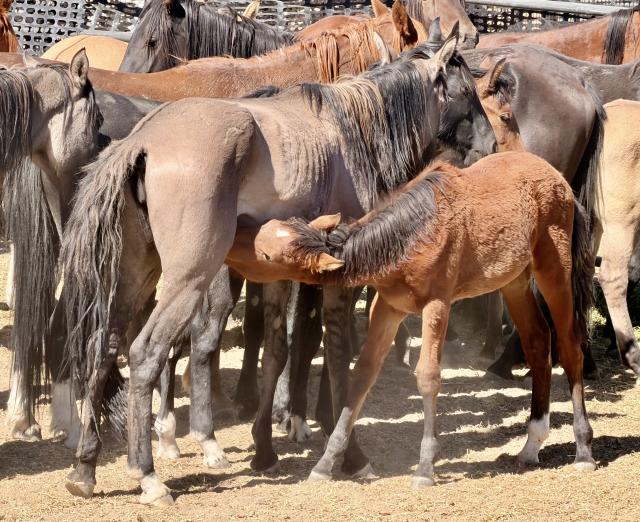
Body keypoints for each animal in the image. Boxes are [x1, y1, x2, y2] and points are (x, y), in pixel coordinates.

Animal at [60, 36, 495, 504]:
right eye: (466, 92)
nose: (492, 146)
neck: (353, 135)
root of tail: (144, 139)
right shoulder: (341, 279)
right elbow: (337, 354)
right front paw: (349, 454)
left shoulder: (278, 276)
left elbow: (276, 352)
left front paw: (265, 448)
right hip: (188, 281)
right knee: (146, 353)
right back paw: (149, 474)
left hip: (136, 276)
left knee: (105, 347)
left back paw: (85, 468)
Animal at [226, 150, 597, 486]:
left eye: (267, 255)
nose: (234, 238)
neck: (411, 235)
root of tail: (562, 182)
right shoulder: (388, 307)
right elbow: (363, 373)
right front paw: (327, 463)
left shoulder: (437, 304)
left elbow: (429, 377)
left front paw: (425, 468)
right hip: (514, 281)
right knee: (537, 342)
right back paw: (532, 444)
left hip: (554, 271)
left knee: (569, 346)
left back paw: (583, 450)